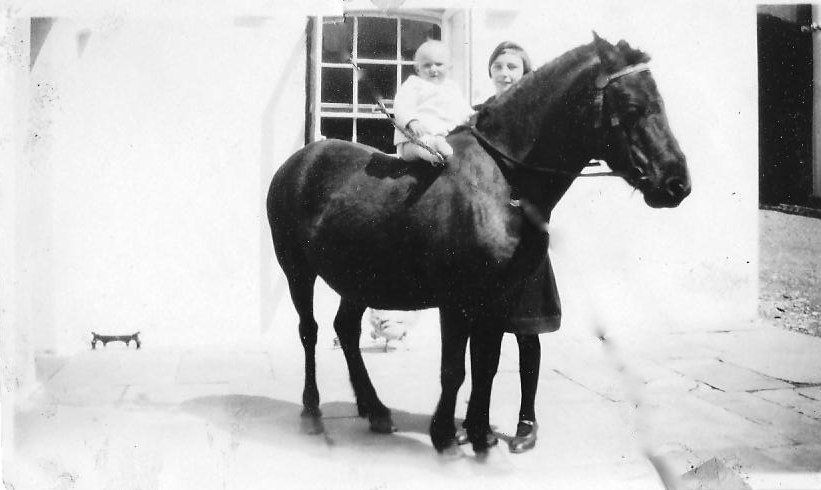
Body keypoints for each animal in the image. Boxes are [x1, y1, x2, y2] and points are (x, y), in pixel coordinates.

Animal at [266, 33, 691, 455]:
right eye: (633, 106)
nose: (677, 183)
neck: (500, 182)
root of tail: (298, 162)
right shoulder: (455, 300)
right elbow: (454, 368)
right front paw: (444, 435)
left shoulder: (497, 297)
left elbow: (487, 362)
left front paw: (480, 433)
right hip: (296, 271)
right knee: (310, 331)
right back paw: (312, 413)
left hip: (360, 280)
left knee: (347, 330)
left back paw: (376, 410)